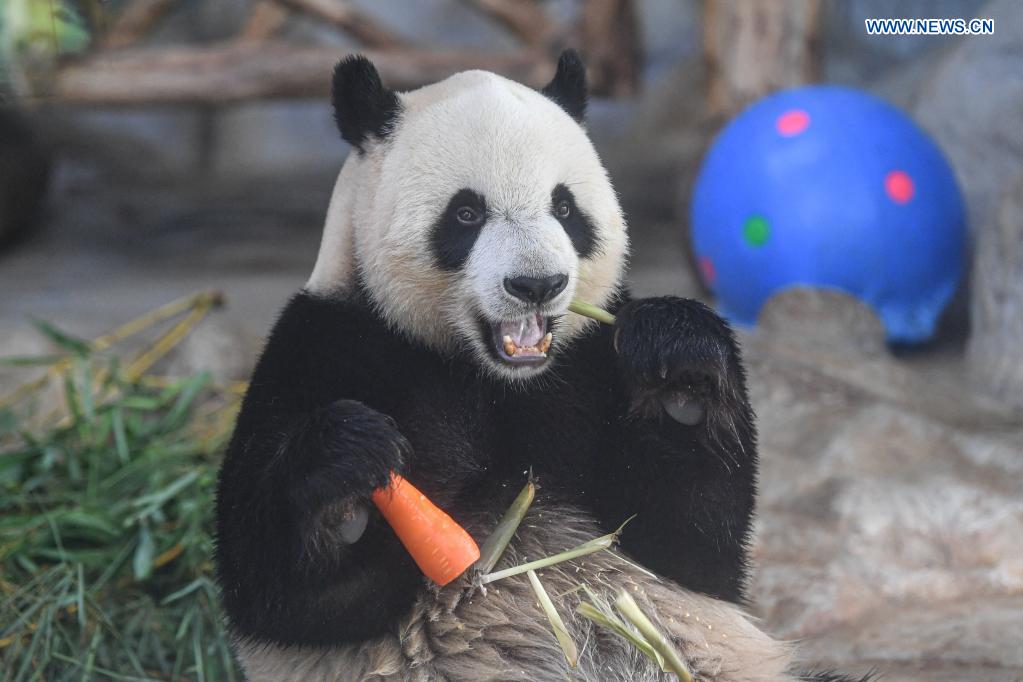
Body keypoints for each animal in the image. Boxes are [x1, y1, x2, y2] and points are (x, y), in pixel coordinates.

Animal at [215, 50, 863, 678]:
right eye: (466, 213)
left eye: (565, 206)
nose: (536, 285)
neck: (496, 378)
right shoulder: (327, 346)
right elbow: (285, 596)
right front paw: (349, 471)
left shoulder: (589, 364)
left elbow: (690, 546)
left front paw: (678, 367)